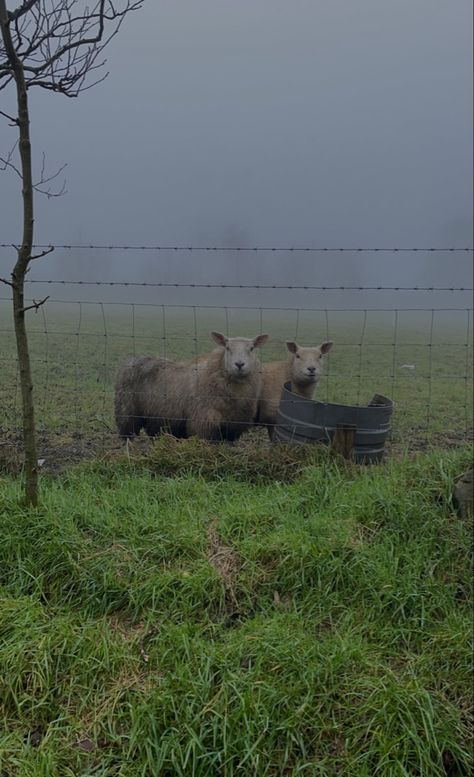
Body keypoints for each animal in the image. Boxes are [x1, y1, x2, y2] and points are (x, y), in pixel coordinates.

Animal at [114, 330, 268, 442]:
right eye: (228, 347)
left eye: (252, 348)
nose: (239, 364)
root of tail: (131, 359)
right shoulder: (203, 424)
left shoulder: (232, 428)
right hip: (126, 412)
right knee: (127, 434)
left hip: (155, 416)